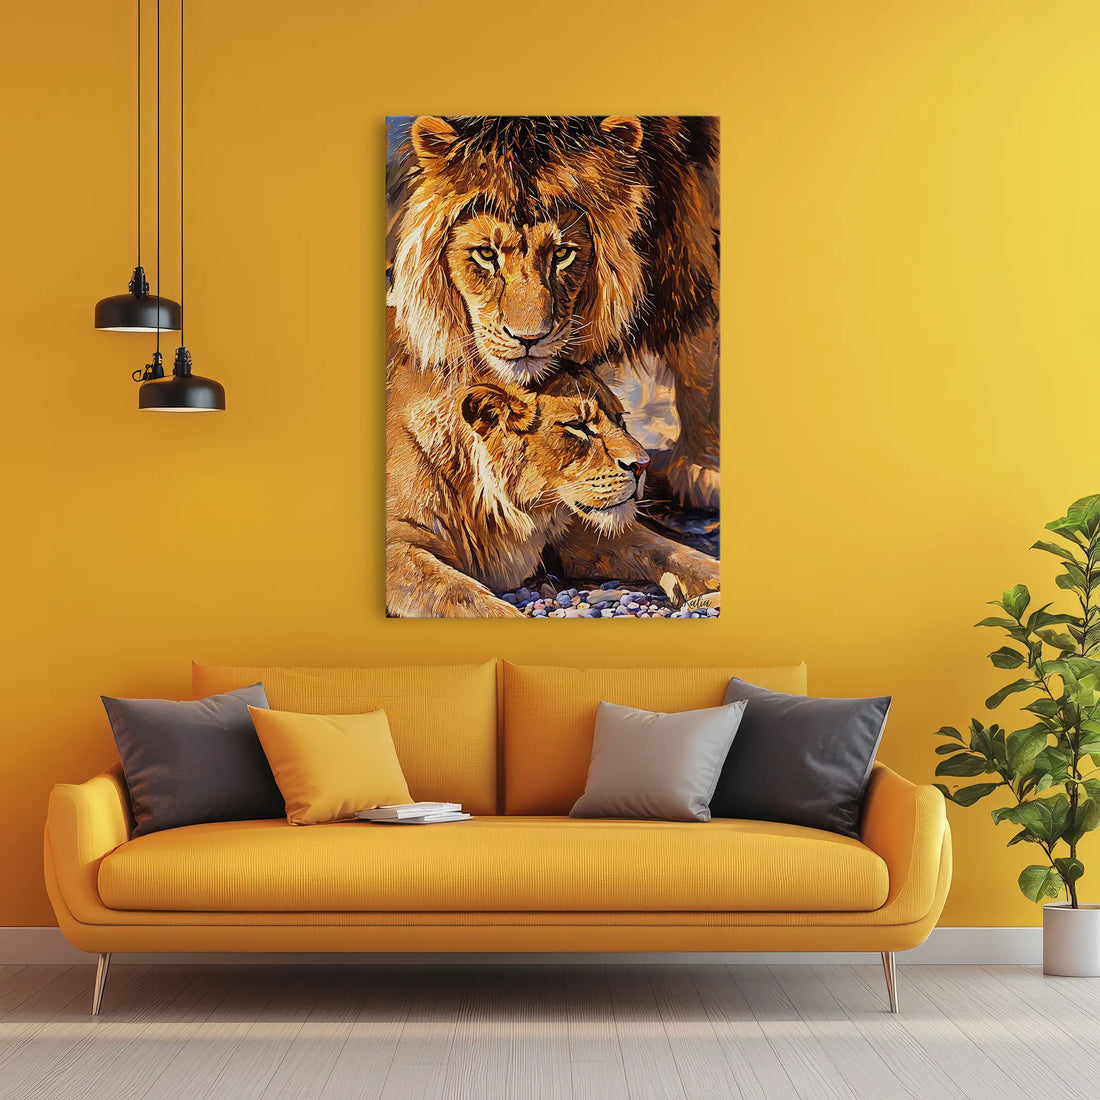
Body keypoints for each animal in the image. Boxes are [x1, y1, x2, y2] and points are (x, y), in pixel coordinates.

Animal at [386, 115, 720, 509]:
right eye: (486, 254)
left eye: (562, 254)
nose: (528, 339)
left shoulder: (691, 252)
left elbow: (698, 365)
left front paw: (702, 468)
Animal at [386, 355, 720, 619]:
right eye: (578, 426)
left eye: (620, 419)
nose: (642, 465)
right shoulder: (397, 544)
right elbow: (464, 598)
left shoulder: (573, 527)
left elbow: (663, 548)